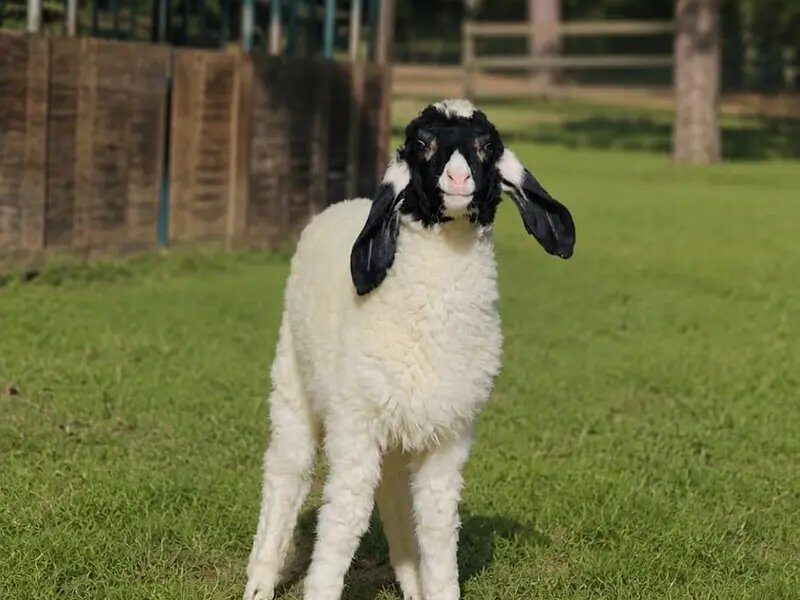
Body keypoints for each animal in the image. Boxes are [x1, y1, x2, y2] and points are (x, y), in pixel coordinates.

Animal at [243, 99, 575, 600]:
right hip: (293, 386)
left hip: (402, 430)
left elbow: (437, 526)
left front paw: (437, 586)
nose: (457, 179)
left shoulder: (449, 437)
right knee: (287, 472)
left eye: (487, 147)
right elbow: (342, 520)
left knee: (394, 495)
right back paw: (260, 578)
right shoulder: (356, 426)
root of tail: (345, 203)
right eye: (422, 144)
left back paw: (411, 580)